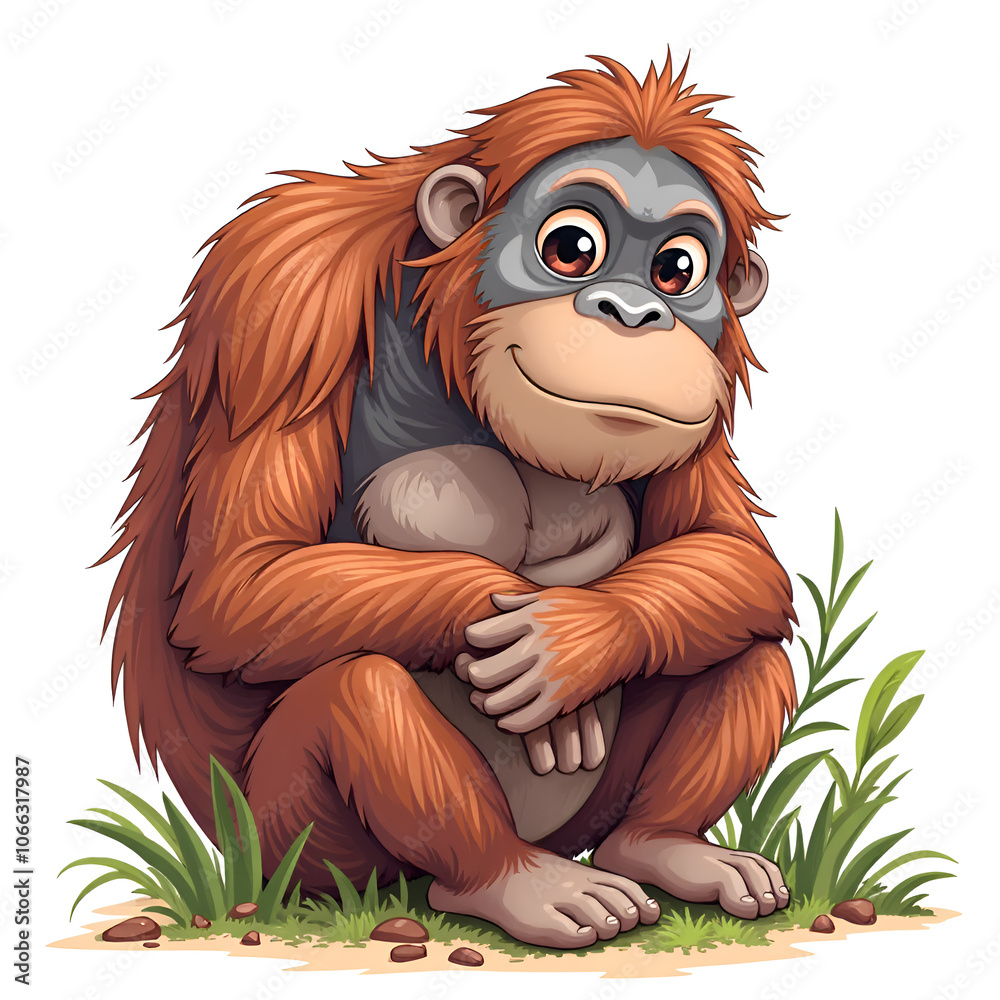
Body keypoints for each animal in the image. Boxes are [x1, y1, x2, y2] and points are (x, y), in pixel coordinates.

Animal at [101, 55, 797, 950]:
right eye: (572, 246)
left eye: (677, 270)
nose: (636, 312)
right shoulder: (280, 306)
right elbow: (240, 583)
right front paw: (517, 623)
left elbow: (731, 550)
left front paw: (578, 638)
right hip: (307, 846)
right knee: (360, 690)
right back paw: (516, 884)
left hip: (588, 817)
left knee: (746, 643)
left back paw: (664, 848)